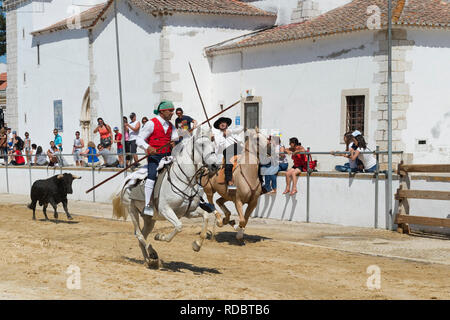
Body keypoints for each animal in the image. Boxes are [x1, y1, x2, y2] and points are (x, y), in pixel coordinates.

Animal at [111, 127, 219, 268]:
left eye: (213, 144)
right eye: (201, 145)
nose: (216, 166)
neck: (185, 180)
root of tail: (128, 179)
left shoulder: (188, 211)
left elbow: (205, 217)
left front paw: (197, 245)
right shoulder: (166, 210)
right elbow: (178, 226)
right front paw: (160, 237)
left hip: (149, 219)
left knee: (142, 236)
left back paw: (149, 260)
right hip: (132, 210)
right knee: (139, 234)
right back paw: (152, 253)